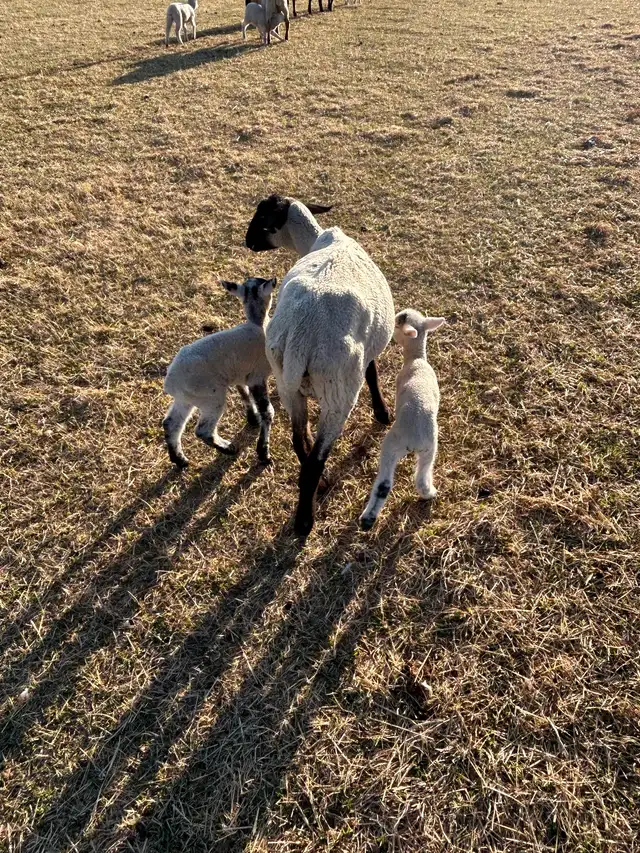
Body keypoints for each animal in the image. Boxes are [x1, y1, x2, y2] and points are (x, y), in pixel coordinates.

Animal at [162, 277, 276, 469]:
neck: (257, 323)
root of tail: (170, 382)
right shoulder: (257, 376)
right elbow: (267, 412)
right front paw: (263, 453)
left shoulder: (241, 375)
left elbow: (244, 395)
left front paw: (252, 419)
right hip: (211, 397)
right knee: (202, 430)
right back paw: (228, 448)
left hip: (186, 399)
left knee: (171, 424)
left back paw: (180, 460)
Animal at [245, 195, 395, 536]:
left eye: (261, 217)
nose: (247, 241)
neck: (316, 240)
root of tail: (302, 337)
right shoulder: (366, 352)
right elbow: (373, 373)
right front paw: (383, 414)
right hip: (339, 392)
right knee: (315, 458)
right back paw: (305, 521)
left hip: (287, 384)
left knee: (299, 441)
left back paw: (318, 487)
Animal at [359, 310, 445, 531]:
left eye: (397, 324)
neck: (417, 358)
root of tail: (415, 440)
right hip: (430, 449)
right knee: (422, 478)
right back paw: (430, 494)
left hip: (391, 445)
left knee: (384, 484)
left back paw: (367, 518)